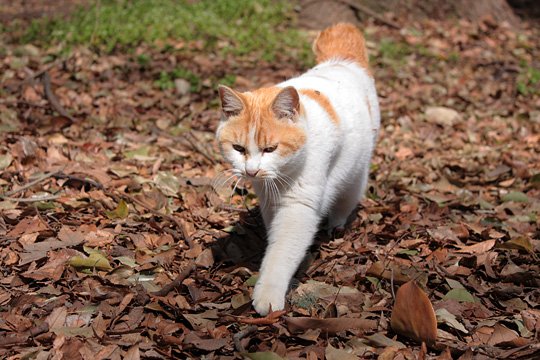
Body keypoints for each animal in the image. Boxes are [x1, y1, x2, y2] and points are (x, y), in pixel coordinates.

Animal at [215, 23, 380, 316]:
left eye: (270, 149)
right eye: (238, 148)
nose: (252, 171)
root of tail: (341, 60)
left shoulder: (298, 208)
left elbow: (282, 254)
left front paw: (268, 294)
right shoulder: (269, 200)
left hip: (356, 173)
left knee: (348, 197)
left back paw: (336, 223)